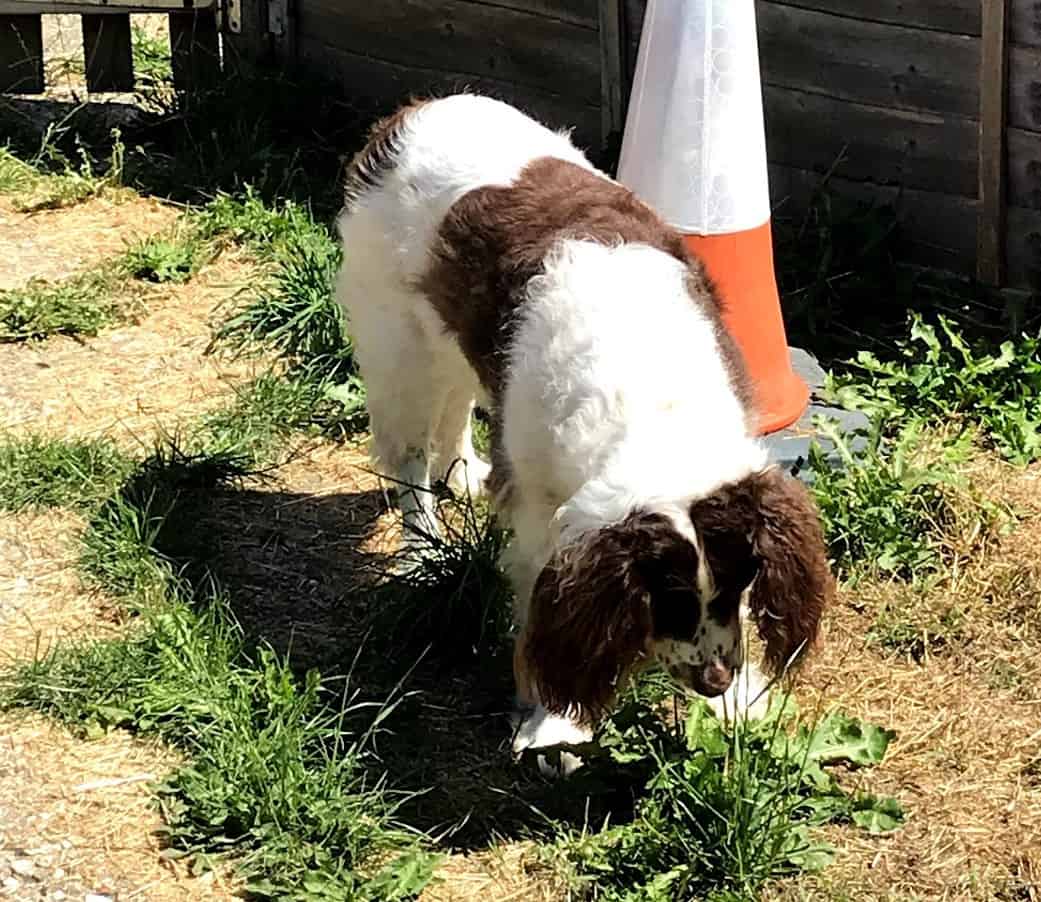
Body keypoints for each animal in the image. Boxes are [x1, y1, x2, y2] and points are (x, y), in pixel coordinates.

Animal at [337, 93, 832, 774]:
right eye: (666, 596)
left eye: (741, 579)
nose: (714, 682)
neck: (656, 401)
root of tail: (411, 113)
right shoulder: (542, 516)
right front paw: (553, 725)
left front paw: (739, 707)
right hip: (399, 342)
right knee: (408, 458)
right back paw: (422, 548)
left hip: (455, 331)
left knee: (457, 404)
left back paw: (462, 473)